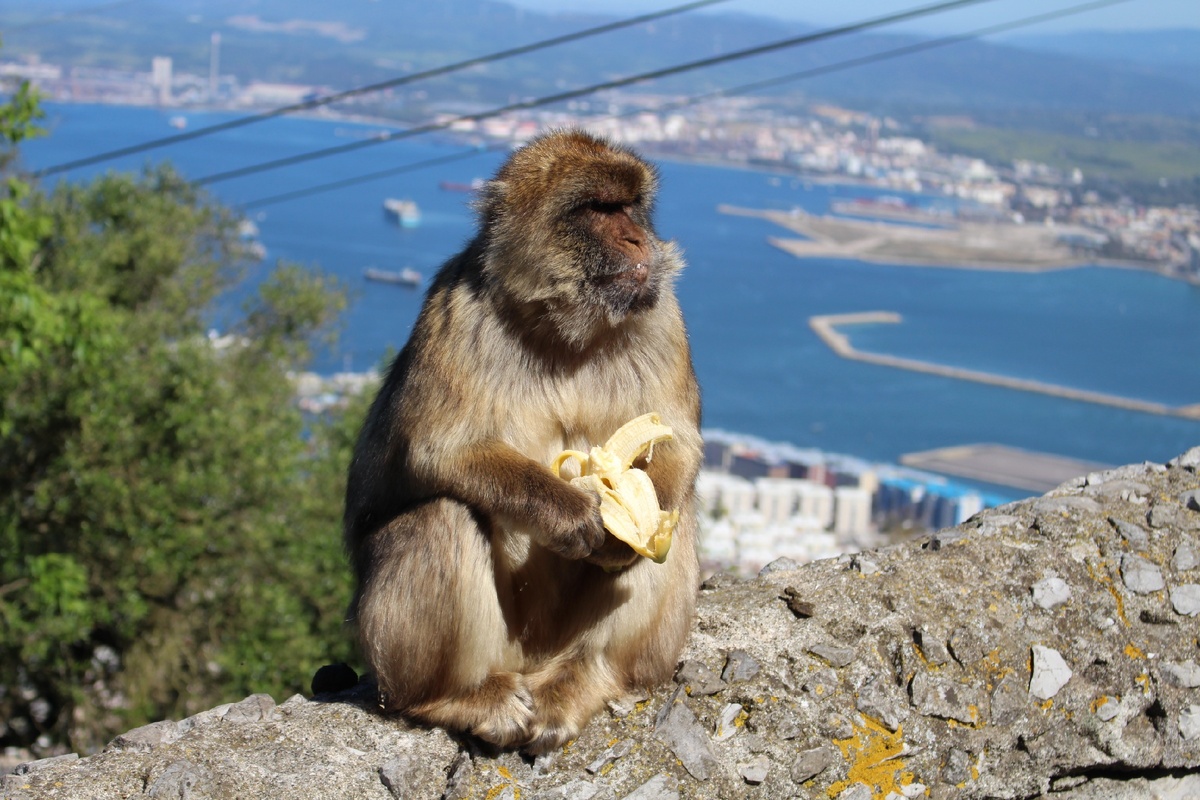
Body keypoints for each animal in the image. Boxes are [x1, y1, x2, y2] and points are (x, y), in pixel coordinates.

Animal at [345, 128, 700, 753]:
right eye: (598, 210)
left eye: (630, 207)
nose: (639, 239)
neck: (564, 329)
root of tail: (533, 661)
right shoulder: (455, 311)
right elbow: (442, 450)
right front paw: (570, 513)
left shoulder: (663, 318)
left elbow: (678, 443)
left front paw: (623, 528)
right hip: (481, 652)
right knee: (440, 516)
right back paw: (453, 697)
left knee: (670, 524)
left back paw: (584, 678)